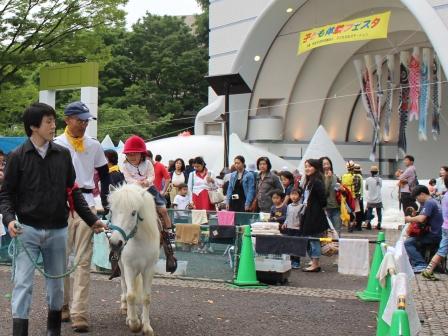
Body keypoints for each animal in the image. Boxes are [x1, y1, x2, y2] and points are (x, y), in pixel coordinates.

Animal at [108, 184, 161, 336]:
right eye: (111, 211)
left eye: (133, 213)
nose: (115, 243)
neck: (139, 241)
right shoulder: (129, 268)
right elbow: (131, 295)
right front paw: (134, 323)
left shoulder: (149, 269)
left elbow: (146, 297)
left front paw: (146, 326)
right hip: (122, 267)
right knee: (125, 287)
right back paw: (126, 309)